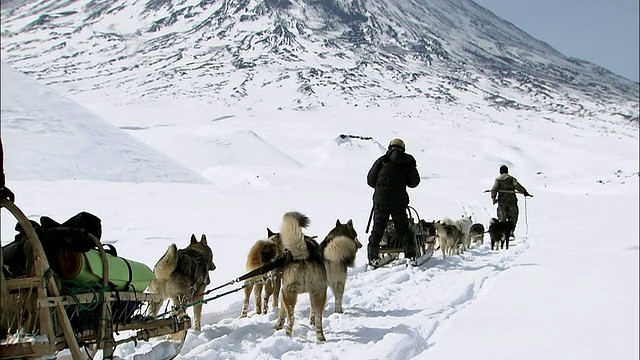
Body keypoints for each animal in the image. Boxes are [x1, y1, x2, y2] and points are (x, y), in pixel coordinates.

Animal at [274, 212, 330, 342]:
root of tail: (303, 255)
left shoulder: (282, 293)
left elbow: (281, 312)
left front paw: (278, 325)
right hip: (319, 293)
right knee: (318, 317)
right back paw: (320, 337)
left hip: (288, 293)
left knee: (291, 318)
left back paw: (287, 337)